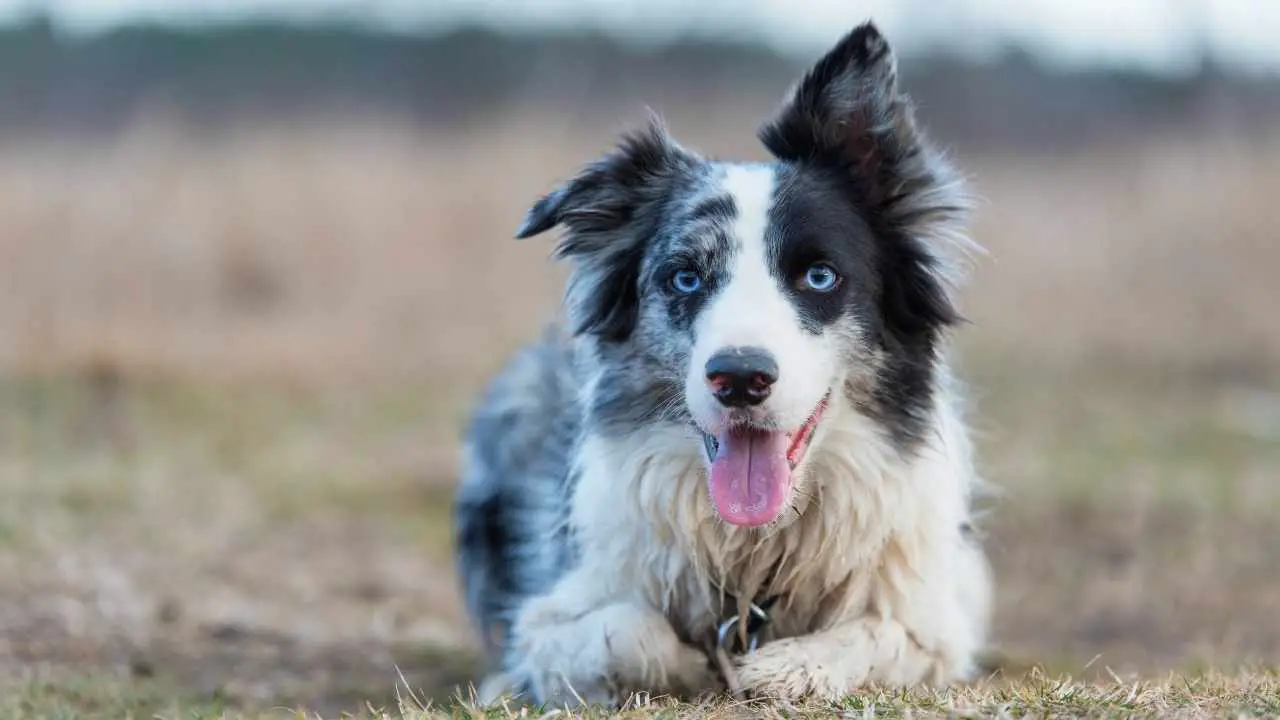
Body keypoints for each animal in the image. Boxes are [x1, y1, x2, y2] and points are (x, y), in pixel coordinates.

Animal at [455, 19, 993, 702]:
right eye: (685, 278)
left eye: (819, 276)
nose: (739, 378)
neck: (752, 551)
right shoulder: (556, 608)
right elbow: (623, 632)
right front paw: (697, 667)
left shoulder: (935, 621)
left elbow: (874, 634)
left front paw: (783, 667)